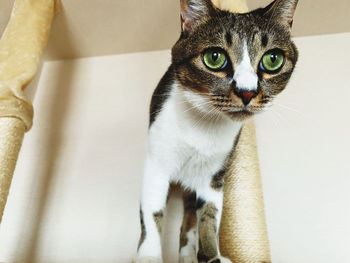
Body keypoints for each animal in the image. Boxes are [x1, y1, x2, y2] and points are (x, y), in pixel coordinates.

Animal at [134, 0, 298, 263]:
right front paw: (148, 256)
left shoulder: (213, 176)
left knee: (190, 219)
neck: (204, 126)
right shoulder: (156, 164)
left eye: (273, 59)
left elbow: (209, 218)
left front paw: (212, 255)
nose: (247, 92)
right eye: (214, 57)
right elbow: (153, 213)